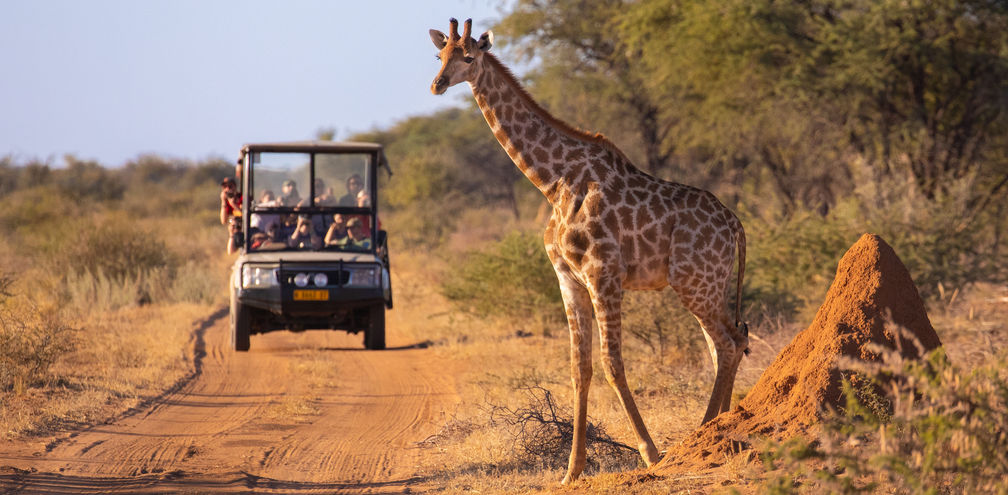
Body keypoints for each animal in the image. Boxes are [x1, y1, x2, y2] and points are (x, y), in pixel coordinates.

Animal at [429, 18, 749, 484]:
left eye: (468, 57)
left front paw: (651, 454)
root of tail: (736, 224)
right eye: (439, 56)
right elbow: (580, 369)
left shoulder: (604, 274)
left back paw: (704, 432)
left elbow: (612, 363)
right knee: (730, 341)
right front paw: (572, 470)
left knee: (726, 343)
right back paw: (721, 426)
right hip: (711, 284)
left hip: (694, 283)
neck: (553, 182)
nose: (437, 84)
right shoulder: (568, 279)